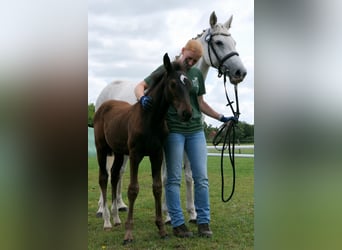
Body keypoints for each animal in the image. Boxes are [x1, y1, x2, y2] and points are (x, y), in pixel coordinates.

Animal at [95, 10, 247, 224]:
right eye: (218, 42)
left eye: (234, 42)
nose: (240, 72)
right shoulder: (166, 145)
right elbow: (167, 178)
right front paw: (167, 214)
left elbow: (190, 176)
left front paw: (193, 213)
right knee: (107, 173)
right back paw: (103, 209)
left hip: (121, 148)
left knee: (119, 172)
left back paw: (121, 205)